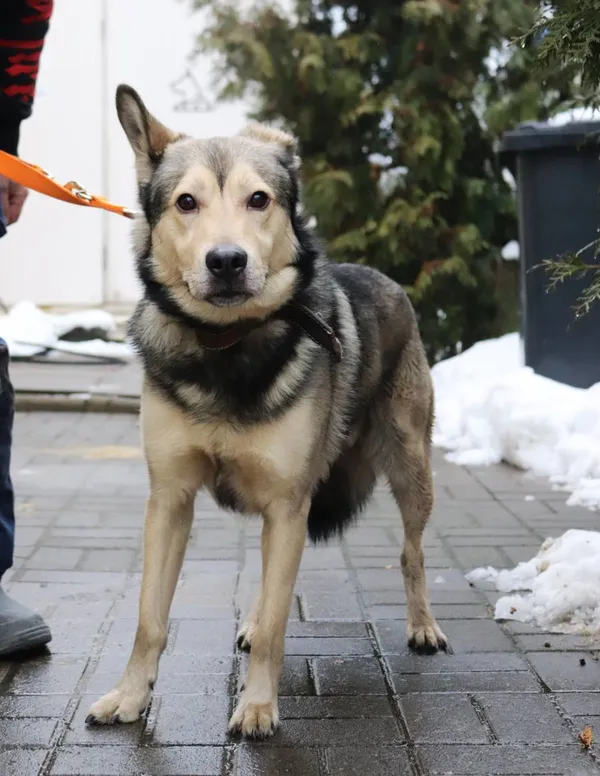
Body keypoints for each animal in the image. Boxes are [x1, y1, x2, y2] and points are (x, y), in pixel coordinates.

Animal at [86, 85, 448, 740]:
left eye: (259, 199)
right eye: (185, 202)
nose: (226, 261)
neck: (226, 347)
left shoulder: (287, 502)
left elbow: (283, 621)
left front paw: (256, 706)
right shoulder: (170, 499)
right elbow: (150, 617)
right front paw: (129, 696)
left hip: (411, 469)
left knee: (412, 552)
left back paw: (423, 626)